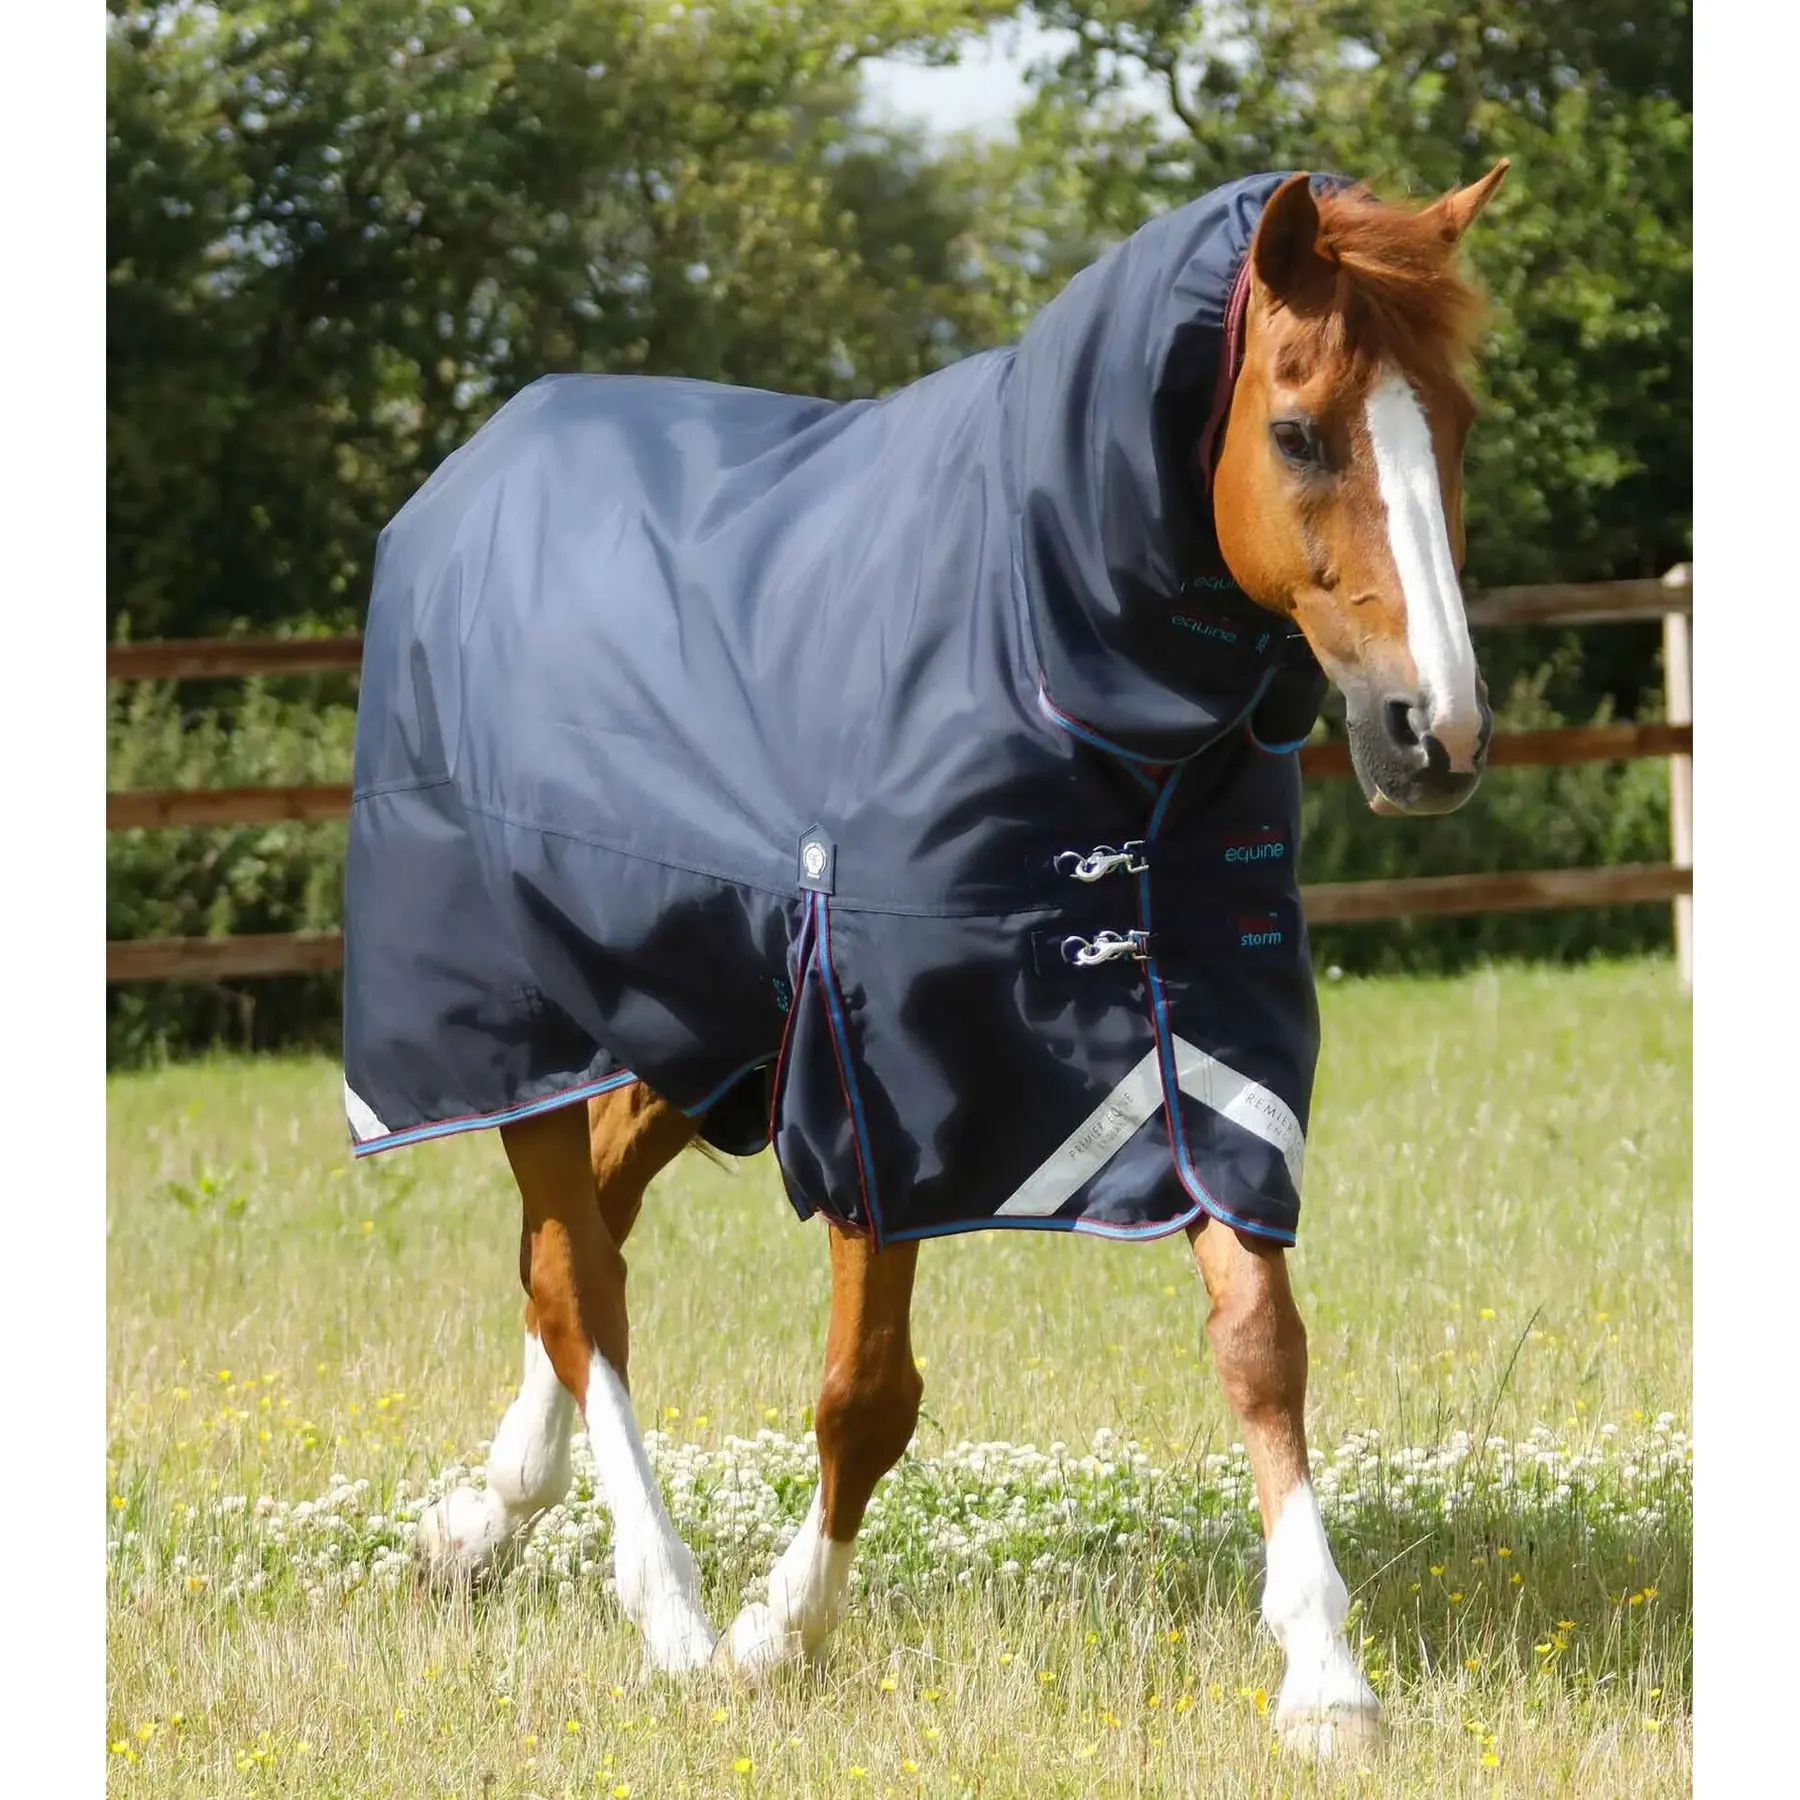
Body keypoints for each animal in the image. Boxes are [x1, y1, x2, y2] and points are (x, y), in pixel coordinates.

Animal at [345, 162, 1508, 1760]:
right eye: (1297, 431)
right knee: (581, 1278)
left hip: (692, 1023)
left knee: (578, 1240)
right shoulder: (881, 1074)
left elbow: (1261, 1343)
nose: (1432, 734)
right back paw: (670, 1612)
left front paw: (1326, 1677)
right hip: (521, 1023)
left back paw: (480, 1524)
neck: (1046, 653)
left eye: (1452, 422)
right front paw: (778, 1632)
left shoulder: (1203, 1041)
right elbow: (867, 1394)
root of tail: (463, 481)